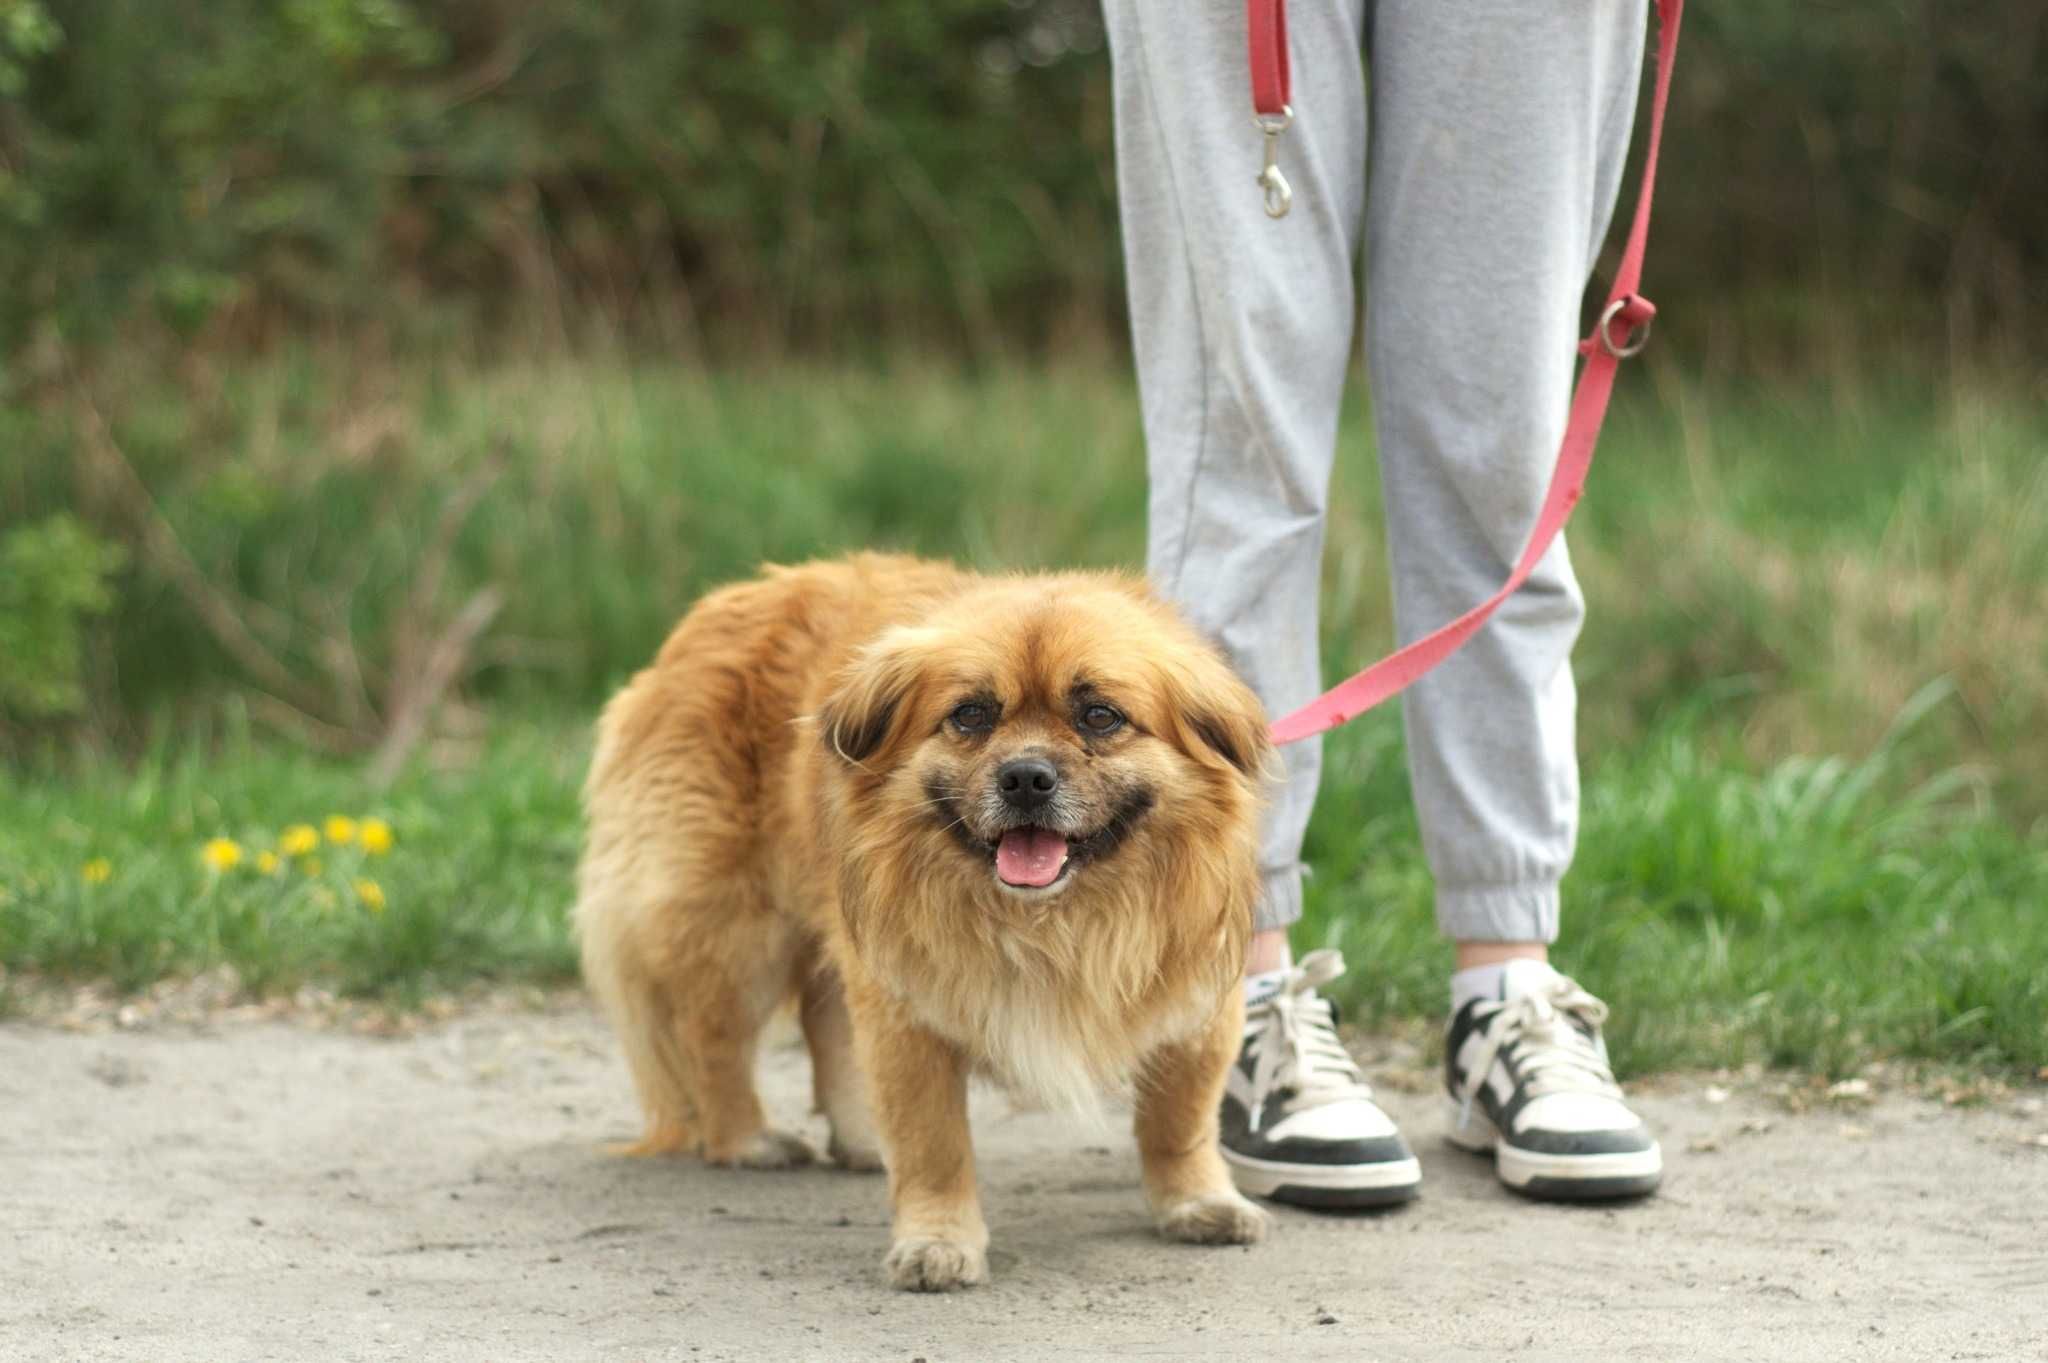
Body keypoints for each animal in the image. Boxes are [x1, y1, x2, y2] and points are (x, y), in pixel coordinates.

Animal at [577, 548, 1269, 1285]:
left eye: (1100, 716)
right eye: (970, 715)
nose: (1026, 777)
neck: (1056, 921)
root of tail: (709, 617)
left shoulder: (1198, 1001)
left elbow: (1180, 1120)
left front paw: (1197, 1201)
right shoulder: (908, 1008)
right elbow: (932, 1143)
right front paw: (938, 1239)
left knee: (827, 1028)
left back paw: (859, 1139)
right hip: (741, 936)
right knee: (716, 1039)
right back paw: (747, 1139)